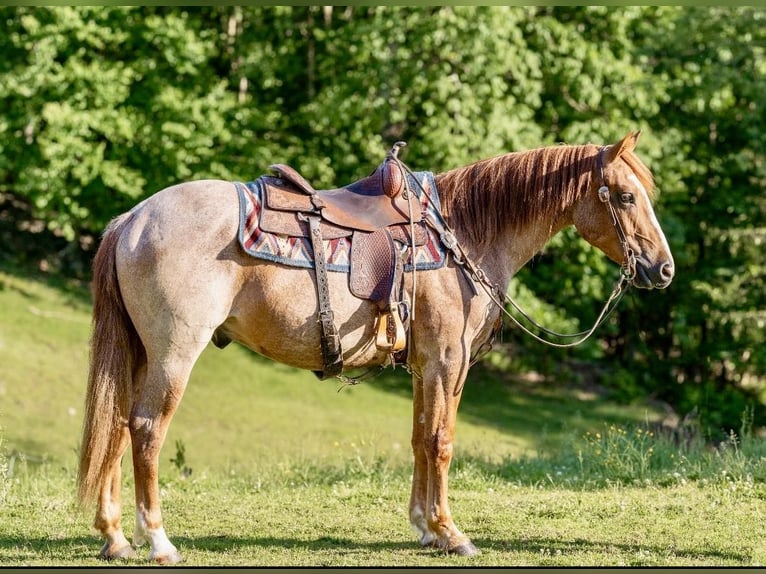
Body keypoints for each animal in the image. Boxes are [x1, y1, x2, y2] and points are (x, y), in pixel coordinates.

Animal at [78, 129, 676, 564]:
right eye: (626, 195)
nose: (664, 269)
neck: (464, 232)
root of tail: (133, 219)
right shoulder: (448, 361)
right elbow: (441, 441)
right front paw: (451, 532)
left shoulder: (424, 366)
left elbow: (419, 438)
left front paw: (423, 528)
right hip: (174, 352)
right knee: (147, 430)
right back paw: (158, 541)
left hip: (139, 354)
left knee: (117, 426)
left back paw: (115, 537)